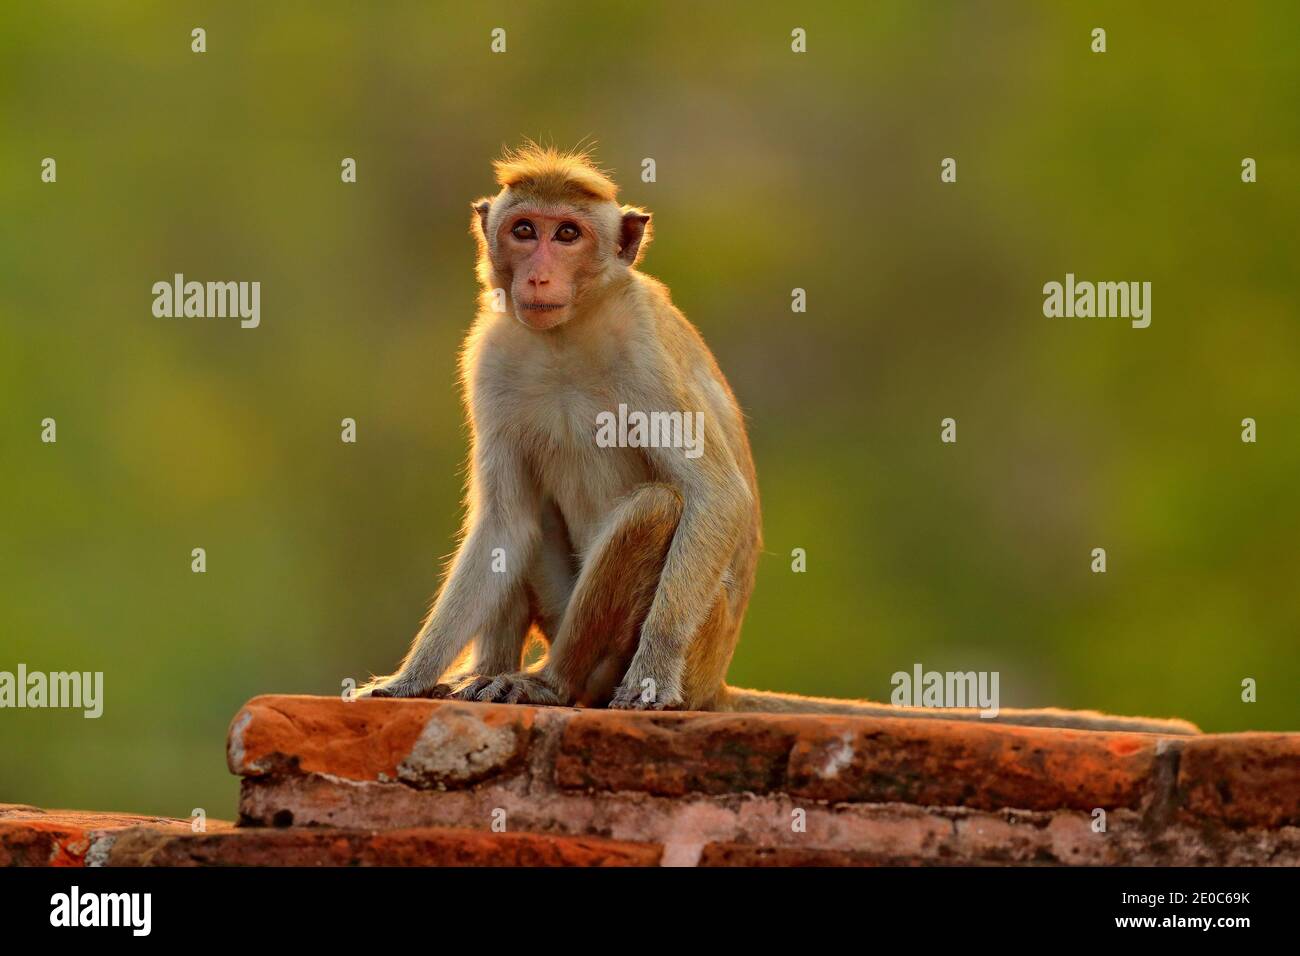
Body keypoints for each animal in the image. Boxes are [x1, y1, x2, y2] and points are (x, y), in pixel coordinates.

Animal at [358, 143, 1198, 736]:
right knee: (530, 521)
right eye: (523, 230)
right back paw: (488, 673)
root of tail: (718, 682)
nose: (536, 275)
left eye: (568, 234)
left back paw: (552, 682)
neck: (569, 332)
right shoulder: (490, 359)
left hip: (682, 646)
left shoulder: (643, 352)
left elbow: (713, 494)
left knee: (656, 506)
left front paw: (650, 674)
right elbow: (505, 522)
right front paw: (408, 678)